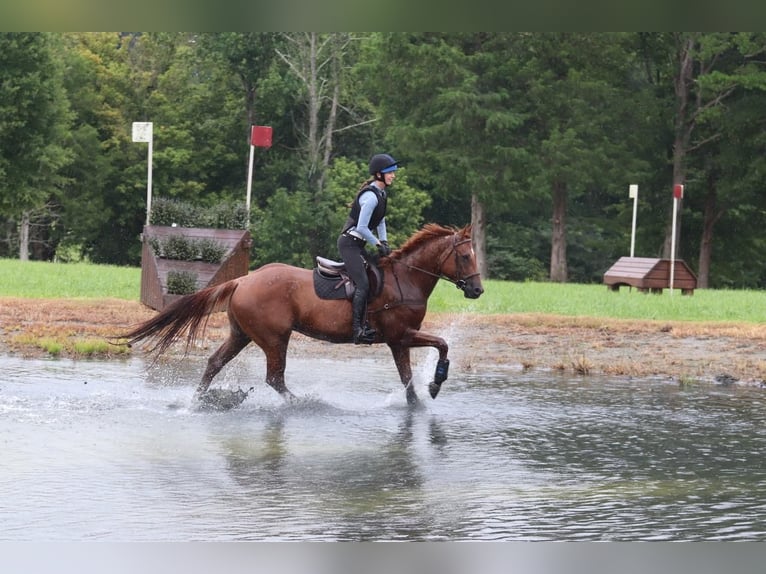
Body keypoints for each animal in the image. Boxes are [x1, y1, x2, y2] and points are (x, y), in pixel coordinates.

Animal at [118, 223, 484, 408]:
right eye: (466, 256)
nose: (478, 291)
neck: (406, 278)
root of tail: (243, 280)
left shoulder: (398, 343)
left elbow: (408, 380)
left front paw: (420, 402)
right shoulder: (401, 336)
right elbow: (443, 344)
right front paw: (435, 384)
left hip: (242, 334)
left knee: (215, 363)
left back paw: (198, 402)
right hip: (274, 337)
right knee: (275, 378)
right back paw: (304, 403)